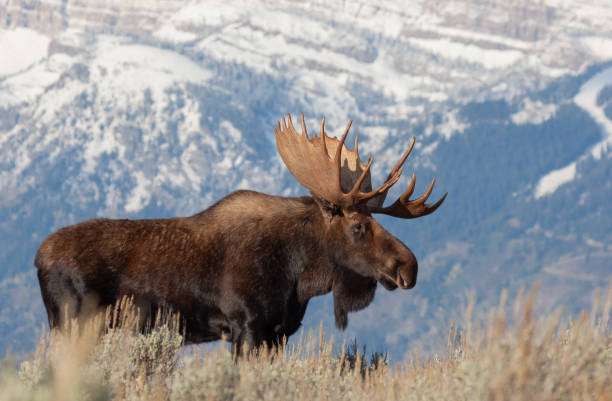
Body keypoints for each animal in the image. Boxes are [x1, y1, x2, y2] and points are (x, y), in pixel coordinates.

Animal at [35, 114, 448, 352]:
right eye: (359, 226)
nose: (409, 267)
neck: (299, 275)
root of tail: (37, 258)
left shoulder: (279, 332)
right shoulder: (246, 326)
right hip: (72, 324)